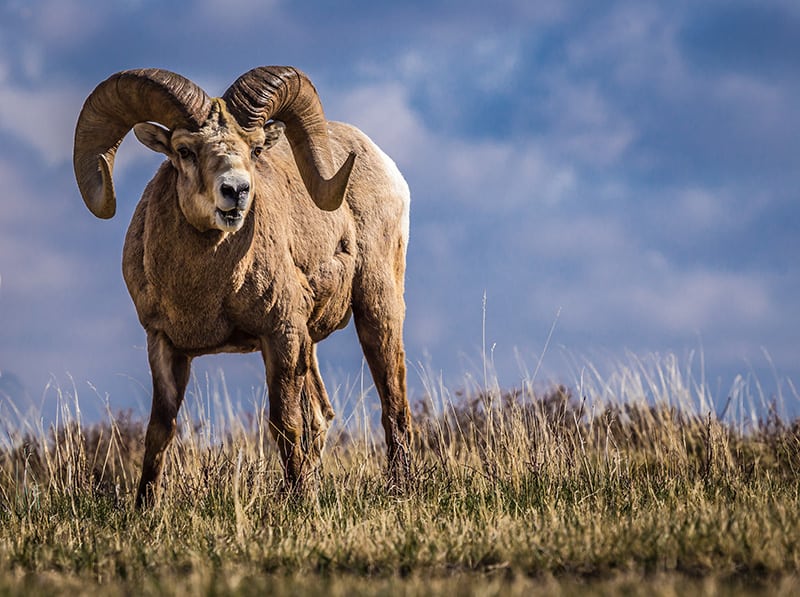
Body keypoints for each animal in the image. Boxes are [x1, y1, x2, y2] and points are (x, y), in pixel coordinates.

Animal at [72, 66, 412, 508]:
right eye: (185, 150)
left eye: (255, 149)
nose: (235, 191)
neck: (206, 288)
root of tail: (384, 164)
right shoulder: (164, 344)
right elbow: (159, 430)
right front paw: (145, 506)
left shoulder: (280, 334)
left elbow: (284, 423)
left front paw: (297, 501)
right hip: (310, 344)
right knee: (322, 416)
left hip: (375, 308)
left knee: (394, 404)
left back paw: (400, 487)